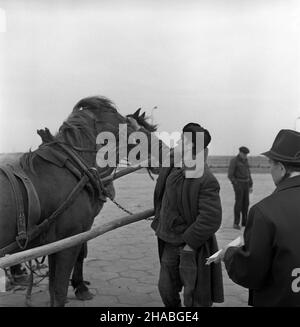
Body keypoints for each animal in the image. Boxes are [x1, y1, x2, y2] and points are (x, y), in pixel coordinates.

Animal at [0, 95, 157, 308]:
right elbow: (61, 286)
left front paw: (78, 286)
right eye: (143, 133)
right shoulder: (71, 237)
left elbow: (54, 287)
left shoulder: (56, 242)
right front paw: (80, 287)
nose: (166, 153)